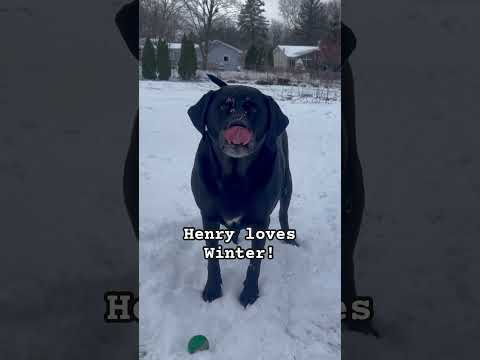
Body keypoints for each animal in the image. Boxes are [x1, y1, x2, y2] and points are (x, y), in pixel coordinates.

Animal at [188, 75, 296, 306]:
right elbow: (212, 259)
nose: (238, 124)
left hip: (287, 186)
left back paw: (291, 240)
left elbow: (255, 264)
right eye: (223, 106)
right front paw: (212, 289)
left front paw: (249, 294)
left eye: (253, 109)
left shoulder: (262, 220)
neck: (234, 176)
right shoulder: (208, 216)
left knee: (284, 213)